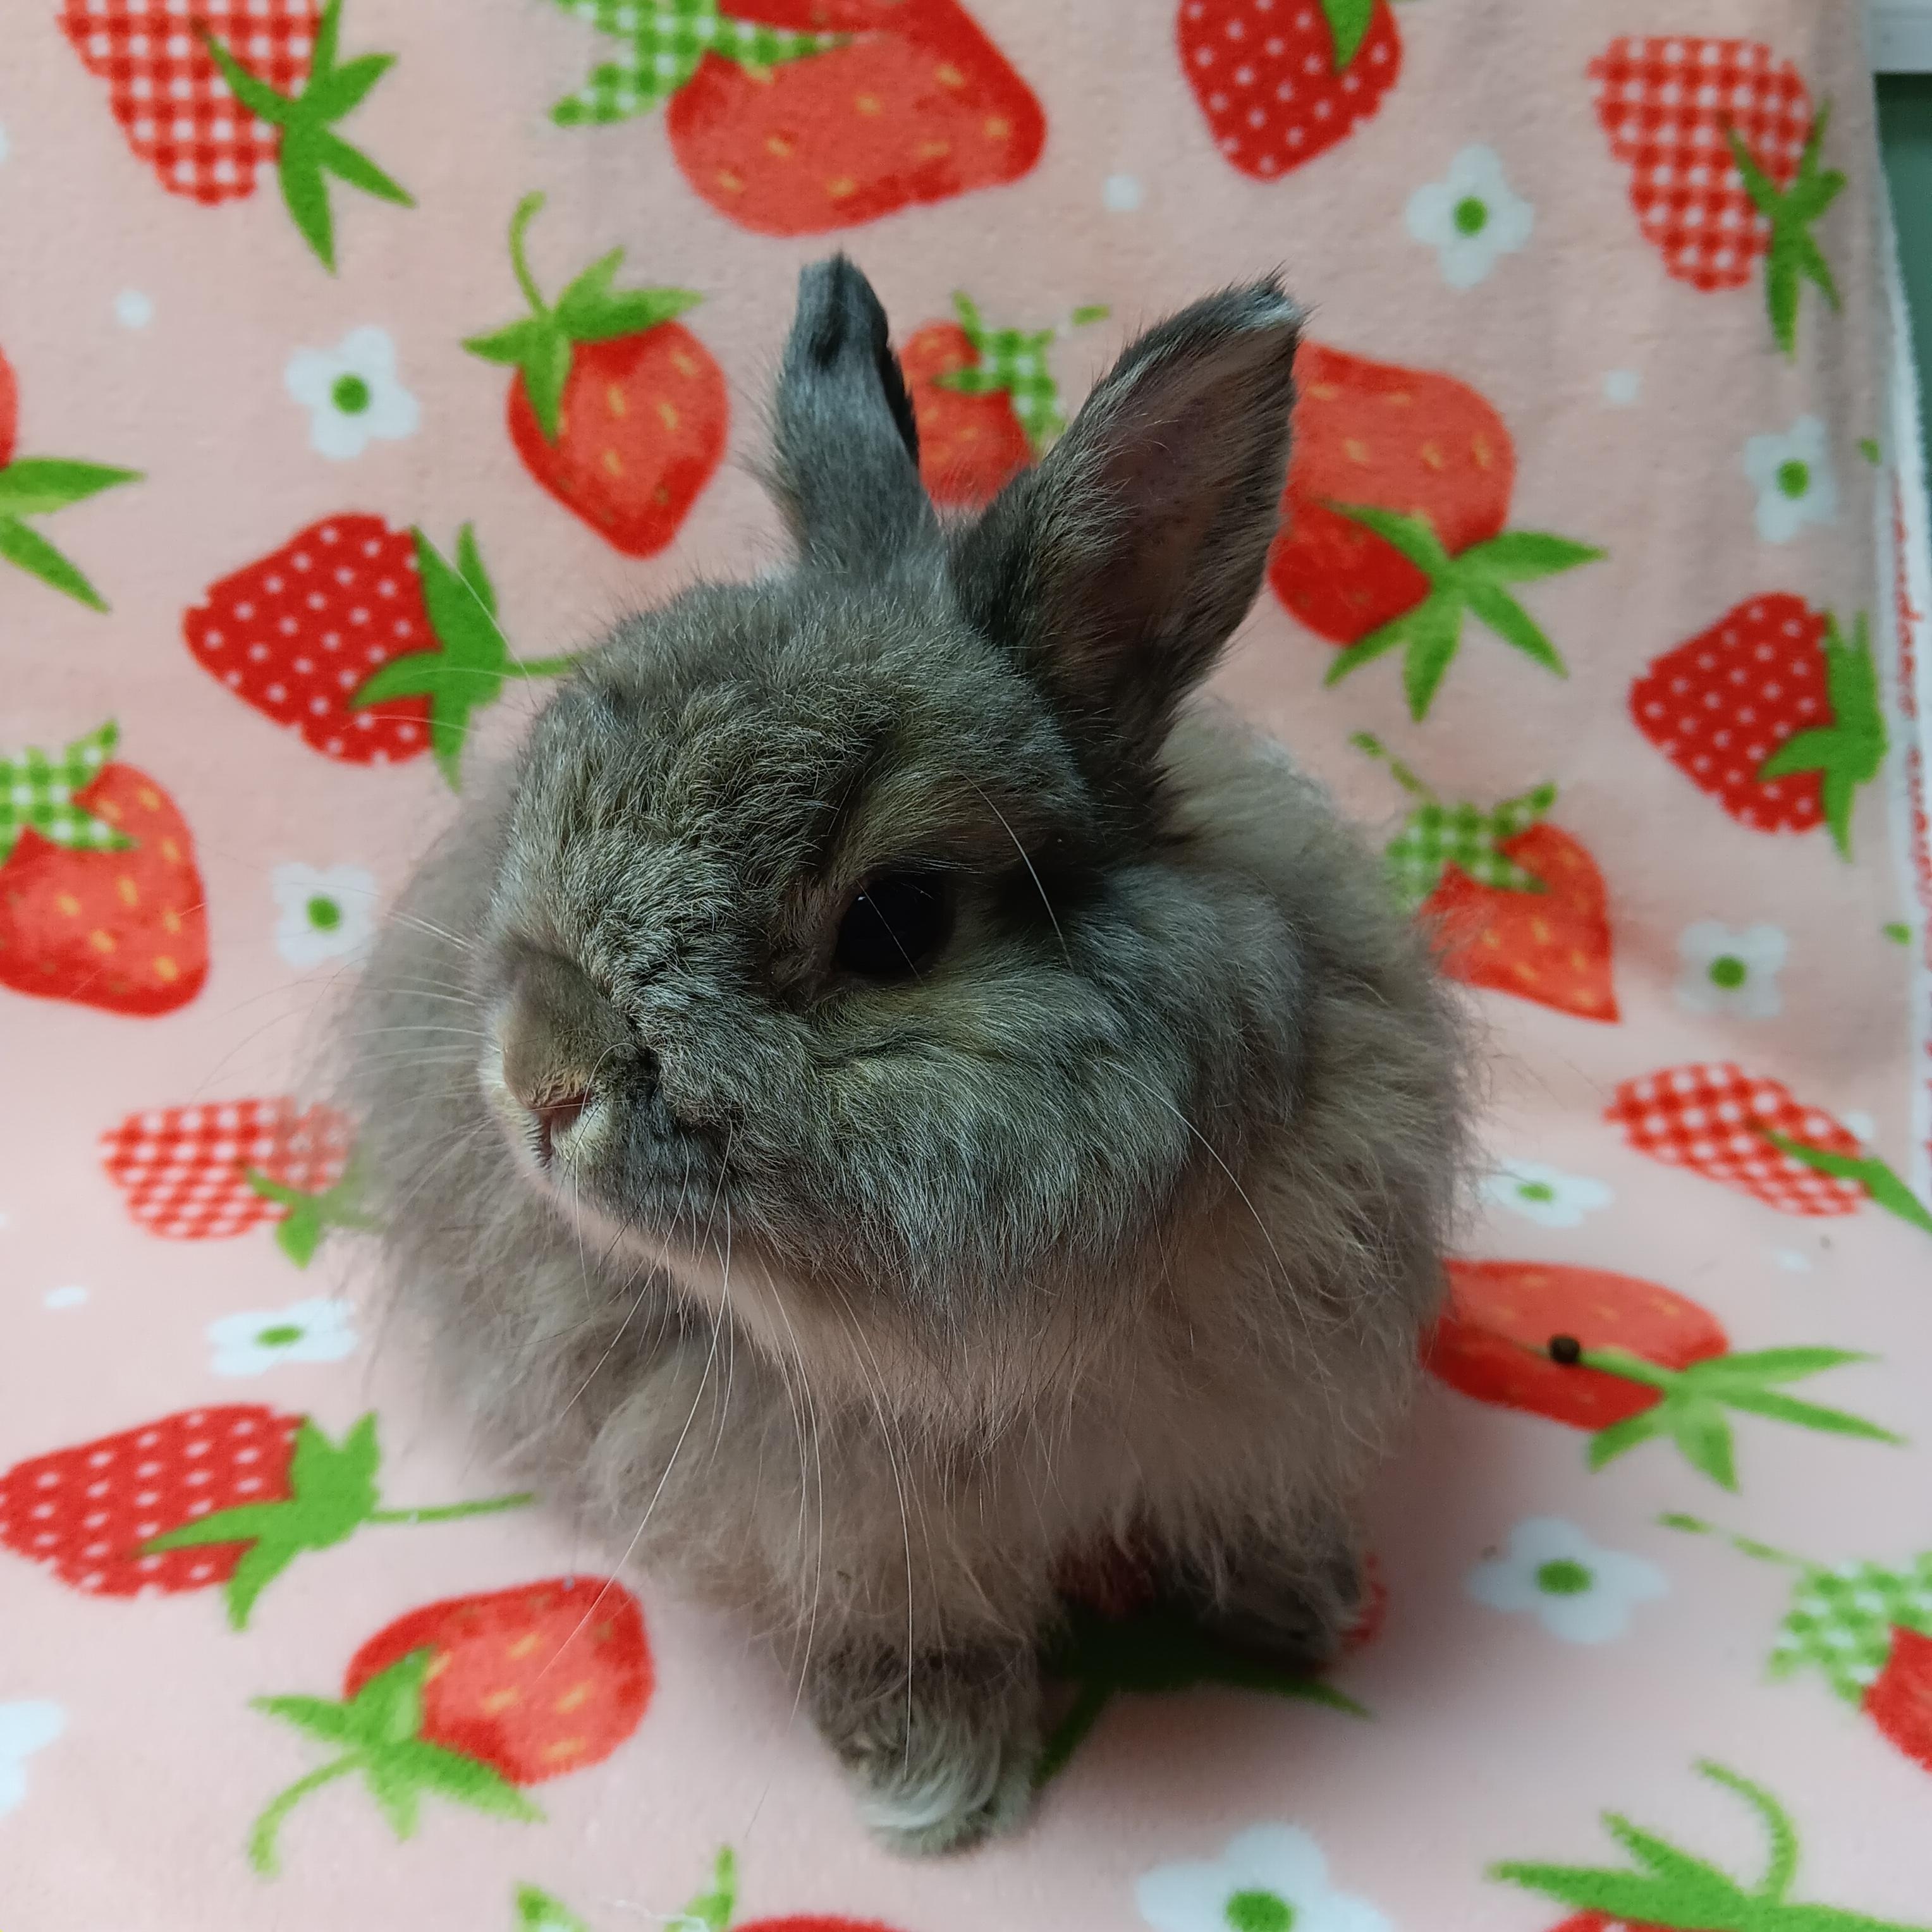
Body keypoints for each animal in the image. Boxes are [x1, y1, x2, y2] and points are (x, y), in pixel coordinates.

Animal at [341, 257, 1468, 1856]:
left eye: (896, 920)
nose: (537, 1081)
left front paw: (1301, 1604)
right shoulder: (853, 1537)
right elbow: (909, 1628)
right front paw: (937, 1780)